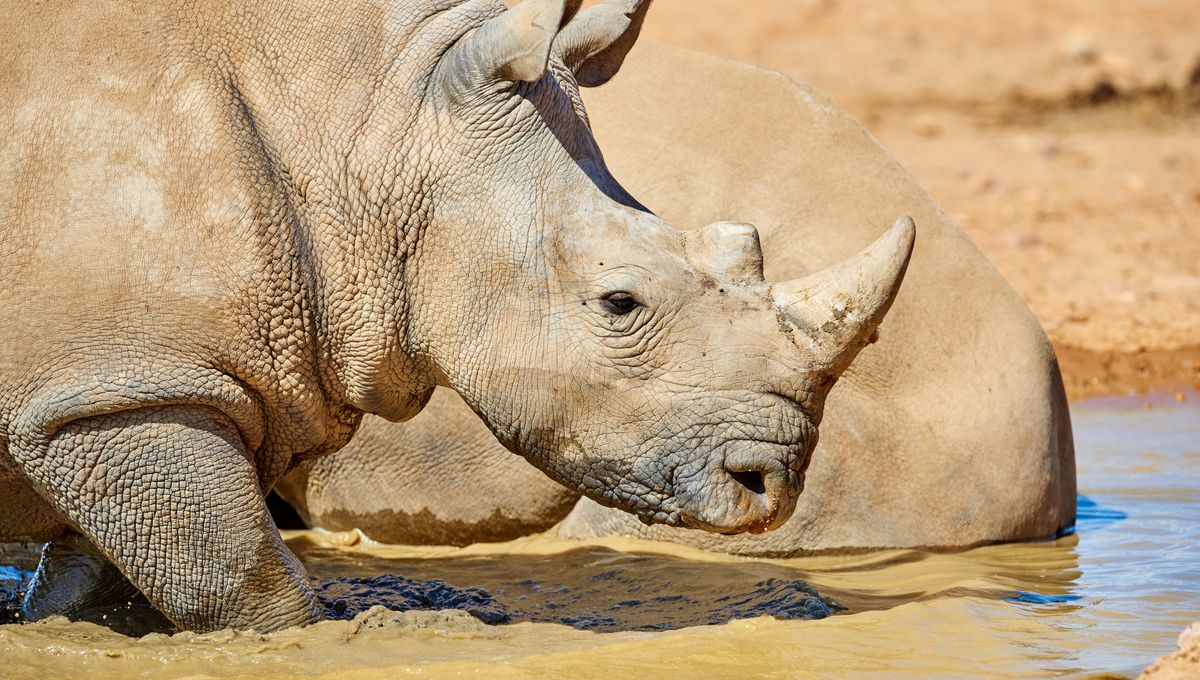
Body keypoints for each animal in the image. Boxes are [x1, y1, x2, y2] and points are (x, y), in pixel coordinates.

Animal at [0, 0, 914, 632]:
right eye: (620, 304)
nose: (773, 484)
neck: (369, 120)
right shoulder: (121, 389)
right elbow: (243, 583)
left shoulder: (119, 386)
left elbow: (99, 578)